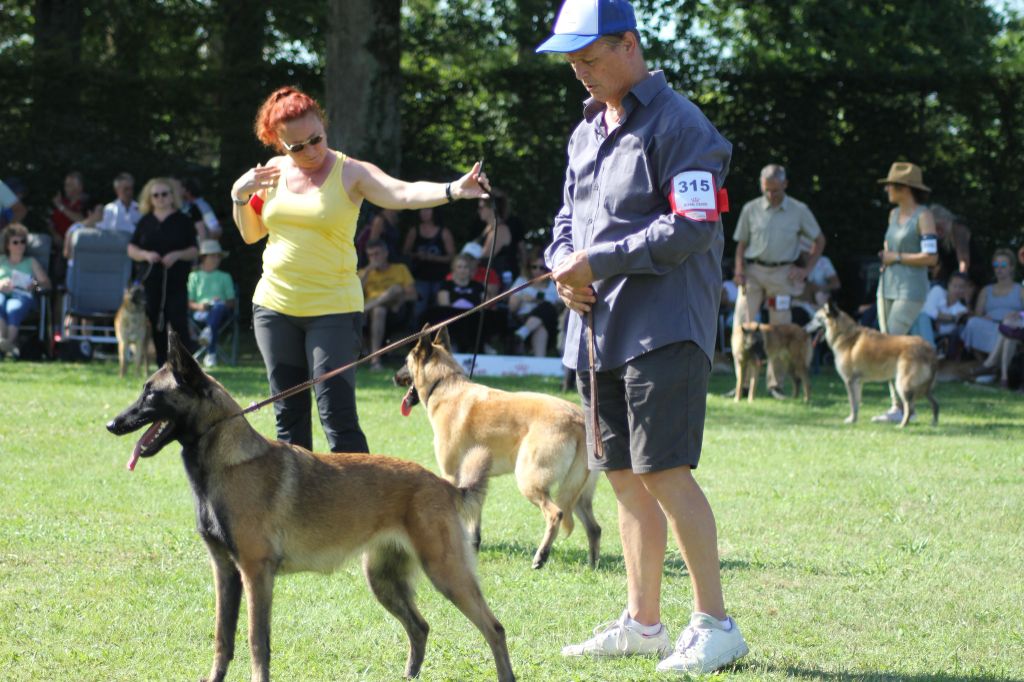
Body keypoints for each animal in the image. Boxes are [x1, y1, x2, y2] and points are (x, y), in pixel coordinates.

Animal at [391, 327, 598, 569]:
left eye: (405, 361)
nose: (394, 377)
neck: (445, 383)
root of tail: (578, 419)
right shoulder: (474, 479)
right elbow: (475, 520)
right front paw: (473, 548)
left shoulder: (452, 476)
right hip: (578, 493)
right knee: (594, 528)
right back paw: (592, 566)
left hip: (530, 480)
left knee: (556, 514)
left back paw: (541, 556)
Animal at [802, 299, 937, 425]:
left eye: (816, 318)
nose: (803, 328)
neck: (844, 334)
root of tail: (929, 349)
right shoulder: (857, 382)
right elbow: (856, 404)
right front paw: (854, 420)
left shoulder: (849, 381)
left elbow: (852, 404)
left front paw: (851, 420)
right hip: (923, 388)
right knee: (934, 404)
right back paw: (933, 424)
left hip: (903, 385)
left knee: (910, 408)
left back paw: (902, 425)